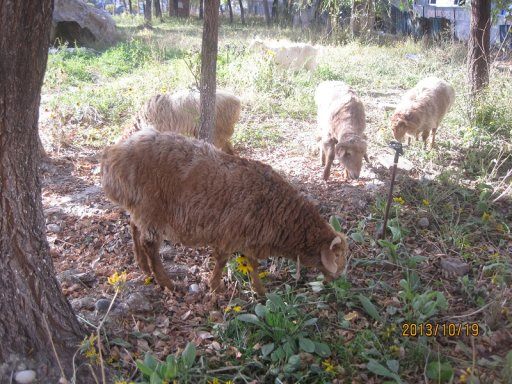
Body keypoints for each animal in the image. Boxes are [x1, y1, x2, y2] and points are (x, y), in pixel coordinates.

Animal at [100, 130, 348, 296]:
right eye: (336, 256)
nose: (339, 277)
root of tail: (112, 156)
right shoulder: (230, 234)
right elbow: (222, 260)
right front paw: (216, 288)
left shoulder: (250, 238)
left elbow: (252, 264)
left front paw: (260, 291)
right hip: (151, 209)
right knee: (149, 244)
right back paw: (167, 282)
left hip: (139, 207)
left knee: (134, 228)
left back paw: (143, 267)